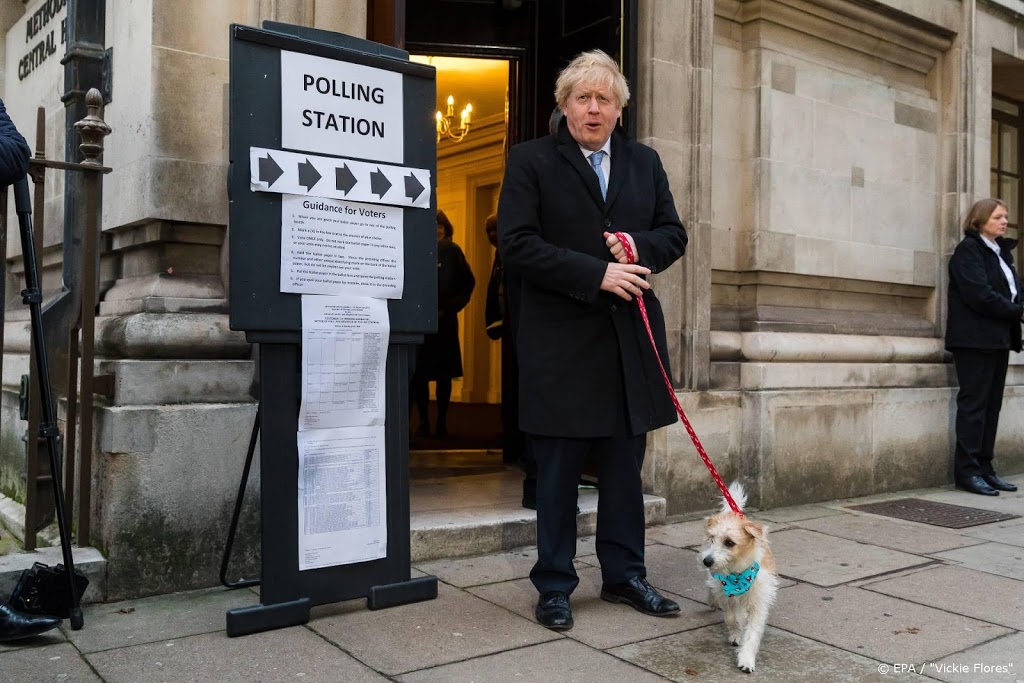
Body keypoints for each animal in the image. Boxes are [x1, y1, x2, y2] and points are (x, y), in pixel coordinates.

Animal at [700, 481, 778, 671]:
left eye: (729, 542)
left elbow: (752, 632)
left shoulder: (758, 602)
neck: (737, 575)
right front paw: (736, 634)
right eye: (712, 539)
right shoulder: (725, 594)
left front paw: (746, 658)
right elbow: (731, 618)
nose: (707, 561)